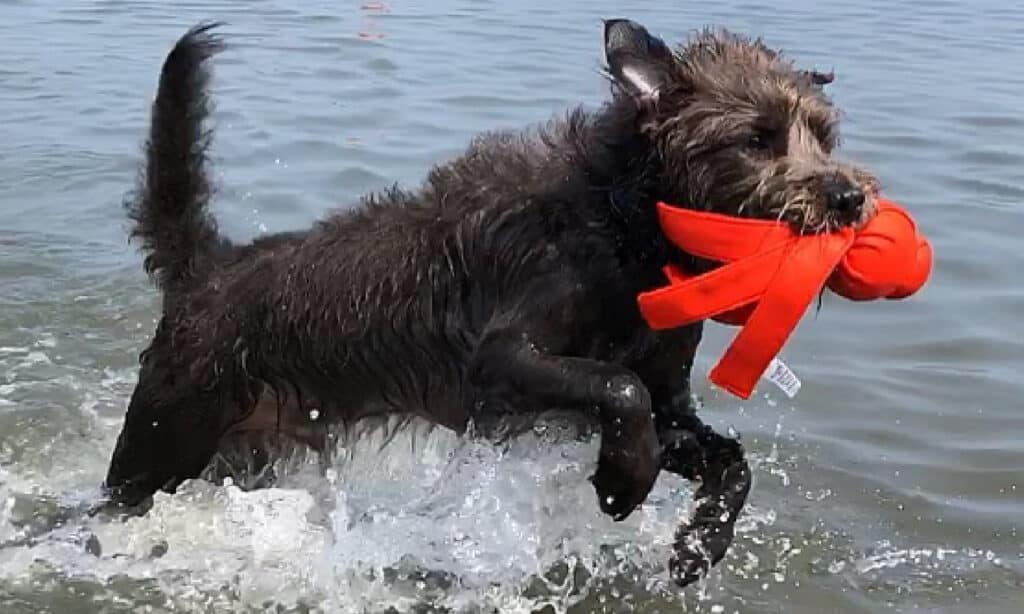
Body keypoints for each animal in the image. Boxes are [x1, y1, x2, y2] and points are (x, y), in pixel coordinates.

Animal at [99, 18, 876, 585]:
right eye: (756, 137)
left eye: (823, 134)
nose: (848, 198)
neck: (626, 229)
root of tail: (208, 270)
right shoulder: (499, 363)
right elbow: (615, 387)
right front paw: (622, 481)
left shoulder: (668, 401)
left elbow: (729, 460)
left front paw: (697, 546)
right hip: (164, 437)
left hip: (241, 450)